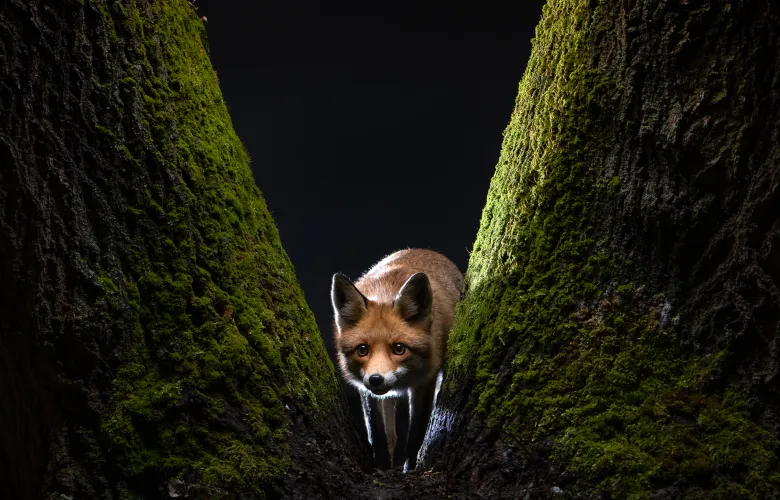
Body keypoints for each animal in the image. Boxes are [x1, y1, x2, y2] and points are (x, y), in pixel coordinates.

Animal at [331, 248, 463, 471]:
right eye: (362, 350)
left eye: (399, 349)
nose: (376, 379)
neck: (385, 292)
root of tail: (423, 250)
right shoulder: (366, 389)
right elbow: (377, 436)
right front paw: (382, 467)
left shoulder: (425, 383)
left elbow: (415, 435)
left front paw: (409, 469)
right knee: (391, 435)